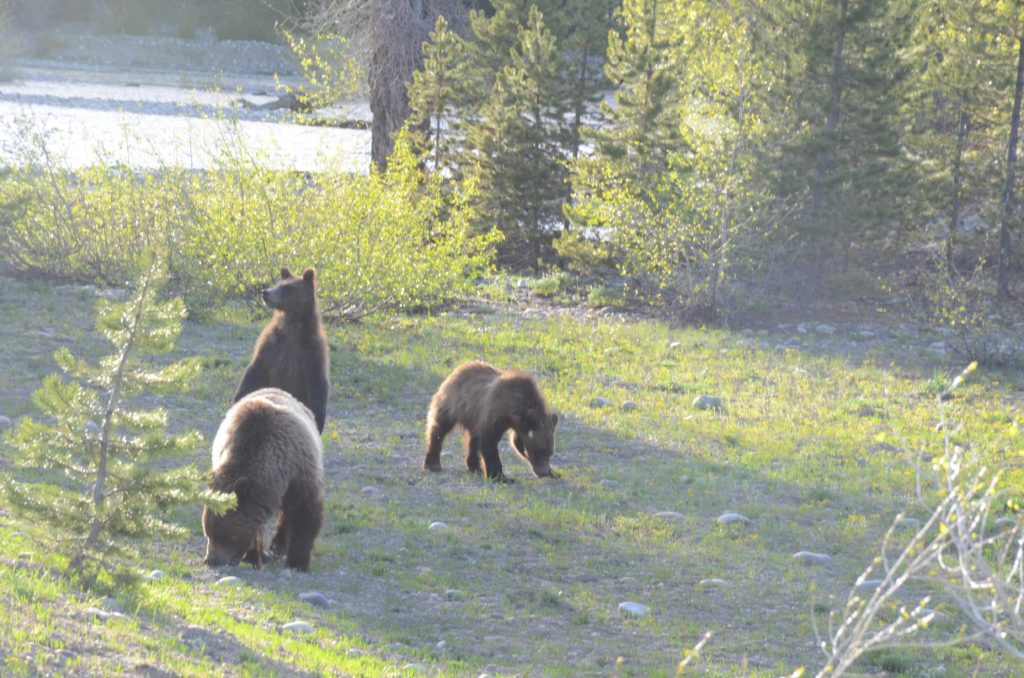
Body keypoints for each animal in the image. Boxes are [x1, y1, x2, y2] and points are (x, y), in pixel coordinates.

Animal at [202, 387, 323, 573]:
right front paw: (253, 557)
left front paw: (298, 562)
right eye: (208, 532)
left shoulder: (299, 475)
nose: (211, 560)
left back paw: (278, 545)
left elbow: (305, 514)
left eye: (225, 536)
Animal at [234, 266, 329, 432]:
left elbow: (318, 383)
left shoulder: (312, 353)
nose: (265, 292)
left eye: (287, 288)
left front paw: (318, 419)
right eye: (278, 284)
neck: (292, 330)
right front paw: (238, 399)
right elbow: (254, 370)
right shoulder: (271, 346)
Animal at [419, 360, 557, 483]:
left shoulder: (519, 426)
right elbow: (489, 440)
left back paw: (475, 466)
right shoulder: (495, 412)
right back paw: (433, 463)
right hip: (454, 403)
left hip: (472, 416)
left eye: (550, 452)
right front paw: (500, 476)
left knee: (473, 439)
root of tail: (459, 367)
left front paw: (553, 472)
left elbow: (517, 443)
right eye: (538, 451)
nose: (543, 472)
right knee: (439, 428)